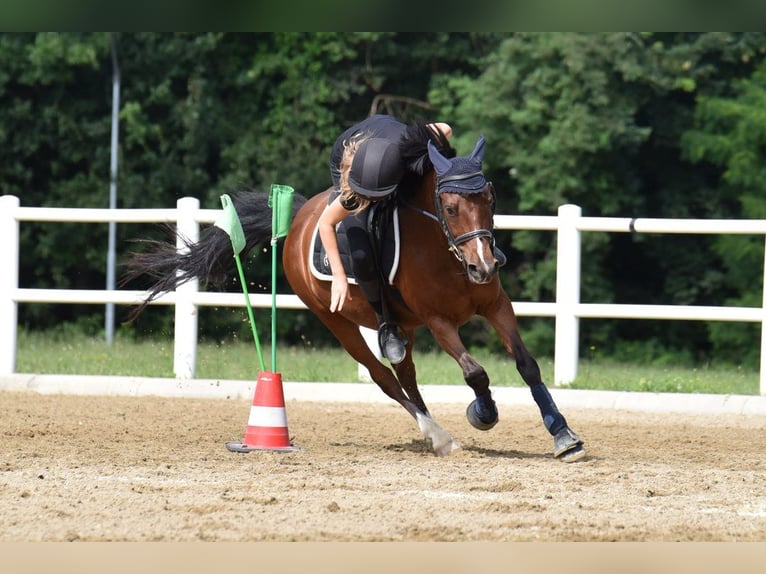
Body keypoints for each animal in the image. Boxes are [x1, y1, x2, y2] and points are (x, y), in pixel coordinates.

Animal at [129, 126, 588, 464]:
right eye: (450, 207)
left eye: (489, 198)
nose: (484, 267)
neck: (445, 250)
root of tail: (300, 215)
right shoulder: (438, 321)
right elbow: (475, 373)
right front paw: (483, 413)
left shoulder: (494, 305)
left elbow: (527, 365)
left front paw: (564, 435)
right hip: (339, 323)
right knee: (384, 377)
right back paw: (440, 437)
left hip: (402, 326)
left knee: (406, 375)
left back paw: (432, 431)